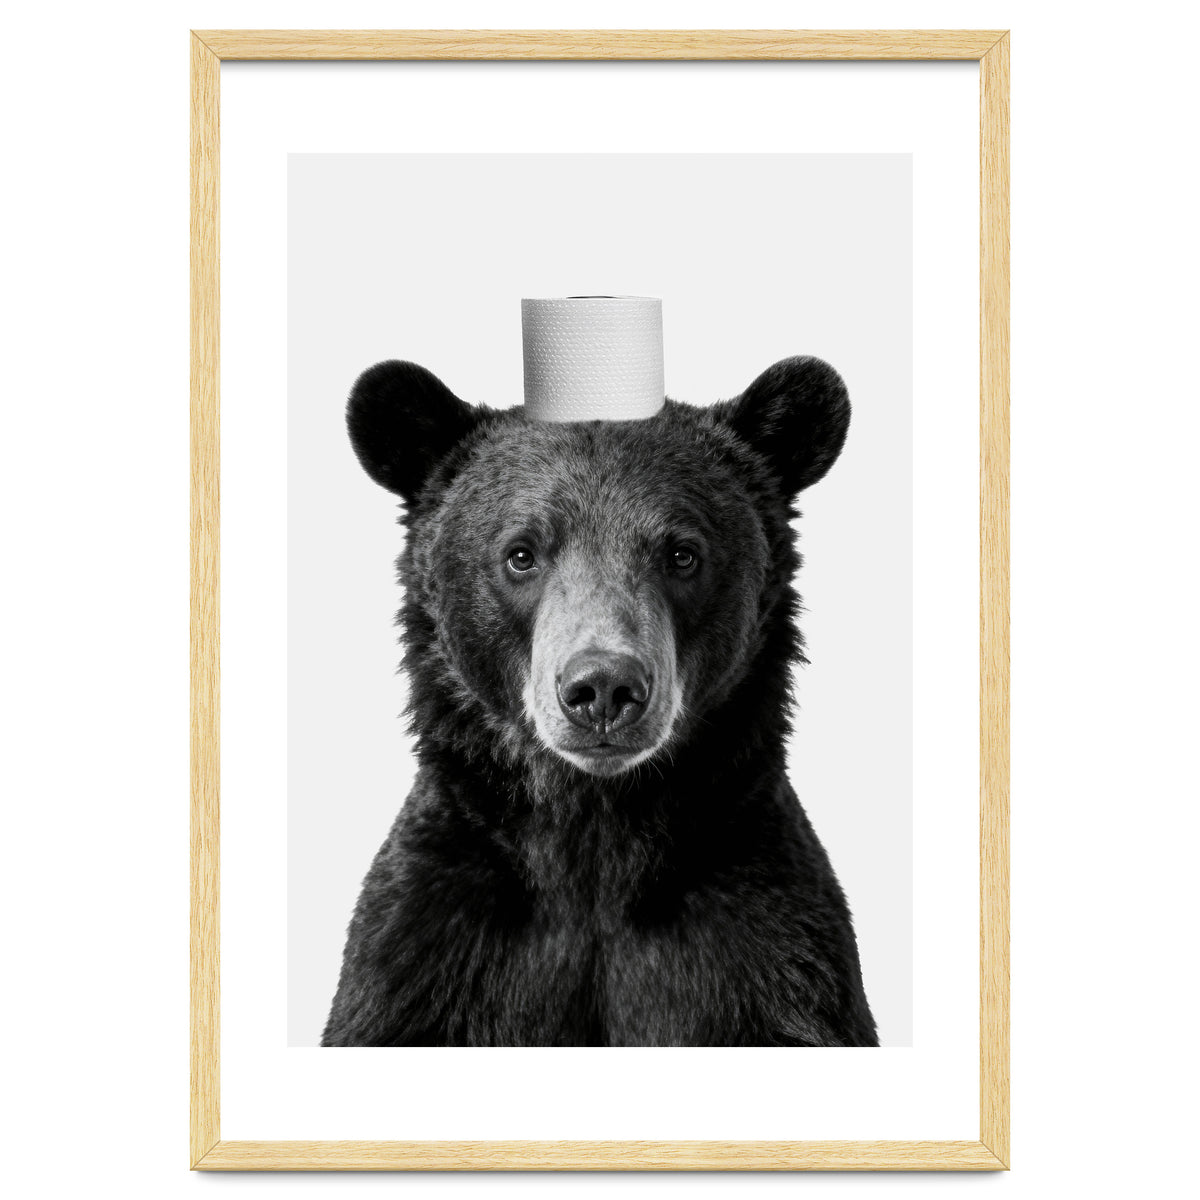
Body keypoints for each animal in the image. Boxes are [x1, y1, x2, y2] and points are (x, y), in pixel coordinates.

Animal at [322, 355, 878, 1047]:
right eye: (521, 554)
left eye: (682, 553)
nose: (604, 688)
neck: (595, 833)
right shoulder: (429, 949)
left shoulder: (768, 949)